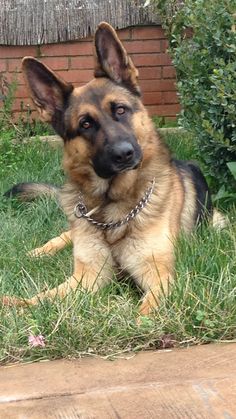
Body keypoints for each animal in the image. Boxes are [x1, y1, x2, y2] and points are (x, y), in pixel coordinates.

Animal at [3, 22, 214, 316]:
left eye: (121, 110)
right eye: (86, 124)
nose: (124, 154)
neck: (113, 208)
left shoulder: (159, 277)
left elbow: (143, 314)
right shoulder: (86, 277)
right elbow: (41, 298)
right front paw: (15, 304)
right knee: (65, 234)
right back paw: (40, 251)